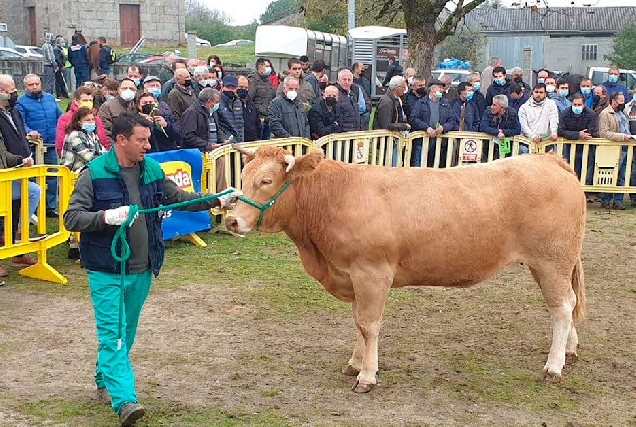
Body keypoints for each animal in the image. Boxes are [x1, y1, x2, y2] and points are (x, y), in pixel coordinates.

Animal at [227, 146, 588, 394]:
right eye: (241, 178)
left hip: (552, 261)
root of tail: (547, 160)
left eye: (266, 180)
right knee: (567, 305)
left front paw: (367, 376)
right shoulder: (352, 275)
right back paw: (568, 352)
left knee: (561, 307)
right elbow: (358, 323)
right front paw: (355, 363)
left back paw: (553, 367)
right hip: (551, 264)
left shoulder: (372, 272)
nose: (231, 220)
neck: (336, 196)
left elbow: (368, 324)